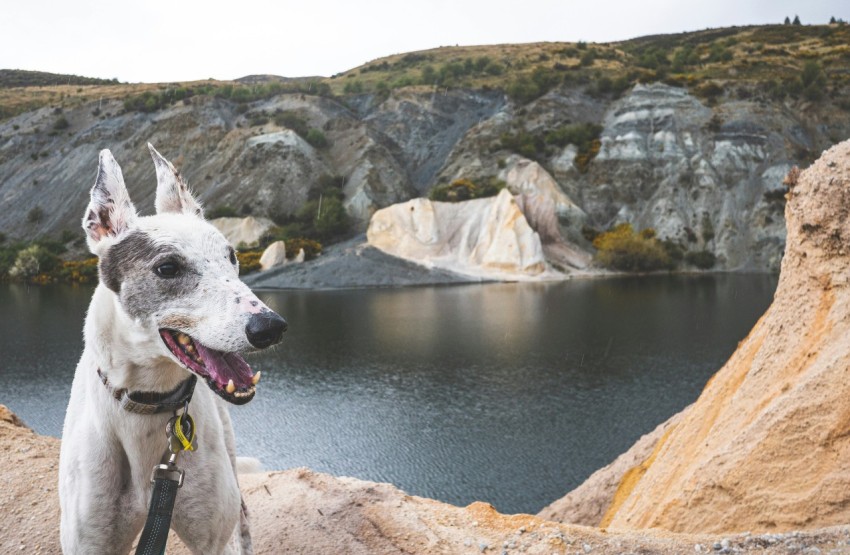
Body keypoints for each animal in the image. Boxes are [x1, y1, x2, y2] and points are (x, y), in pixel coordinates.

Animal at [59, 146, 286, 552]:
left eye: (231, 256)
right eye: (167, 267)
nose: (271, 327)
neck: (148, 406)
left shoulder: (211, 539)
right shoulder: (88, 541)